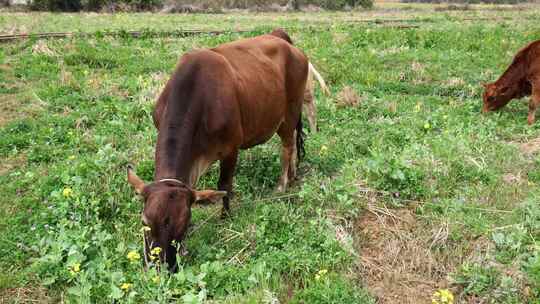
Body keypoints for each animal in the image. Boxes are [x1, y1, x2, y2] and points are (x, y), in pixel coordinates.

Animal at [124, 29, 306, 270]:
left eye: (184, 224)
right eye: (145, 222)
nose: (161, 267)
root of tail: (281, 37)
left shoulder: (231, 148)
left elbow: (224, 185)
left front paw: (225, 217)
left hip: (290, 113)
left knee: (287, 147)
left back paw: (282, 184)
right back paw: (293, 176)